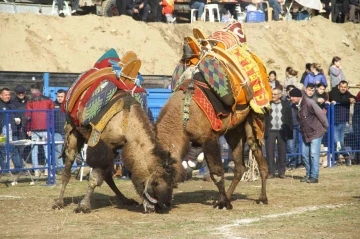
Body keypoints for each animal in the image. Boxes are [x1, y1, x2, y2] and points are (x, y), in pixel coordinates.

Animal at [53, 49, 176, 213]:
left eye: (171, 182)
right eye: (156, 183)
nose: (165, 204)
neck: (125, 121)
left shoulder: (114, 148)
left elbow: (104, 175)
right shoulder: (99, 143)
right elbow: (95, 177)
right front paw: (84, 206)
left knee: (107, 176)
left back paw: (126, 200)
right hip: (72, 130)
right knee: (68, 165)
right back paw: (59, 202)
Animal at [155, 22, 270, 209]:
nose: (155, 203)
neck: (183, 117)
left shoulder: (209, 138)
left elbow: (216, 173)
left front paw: (224, 203)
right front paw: (223, 200)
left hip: (253, 120)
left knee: (259, 159)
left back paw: (262, 198)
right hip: (233, 131)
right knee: (239, 167)